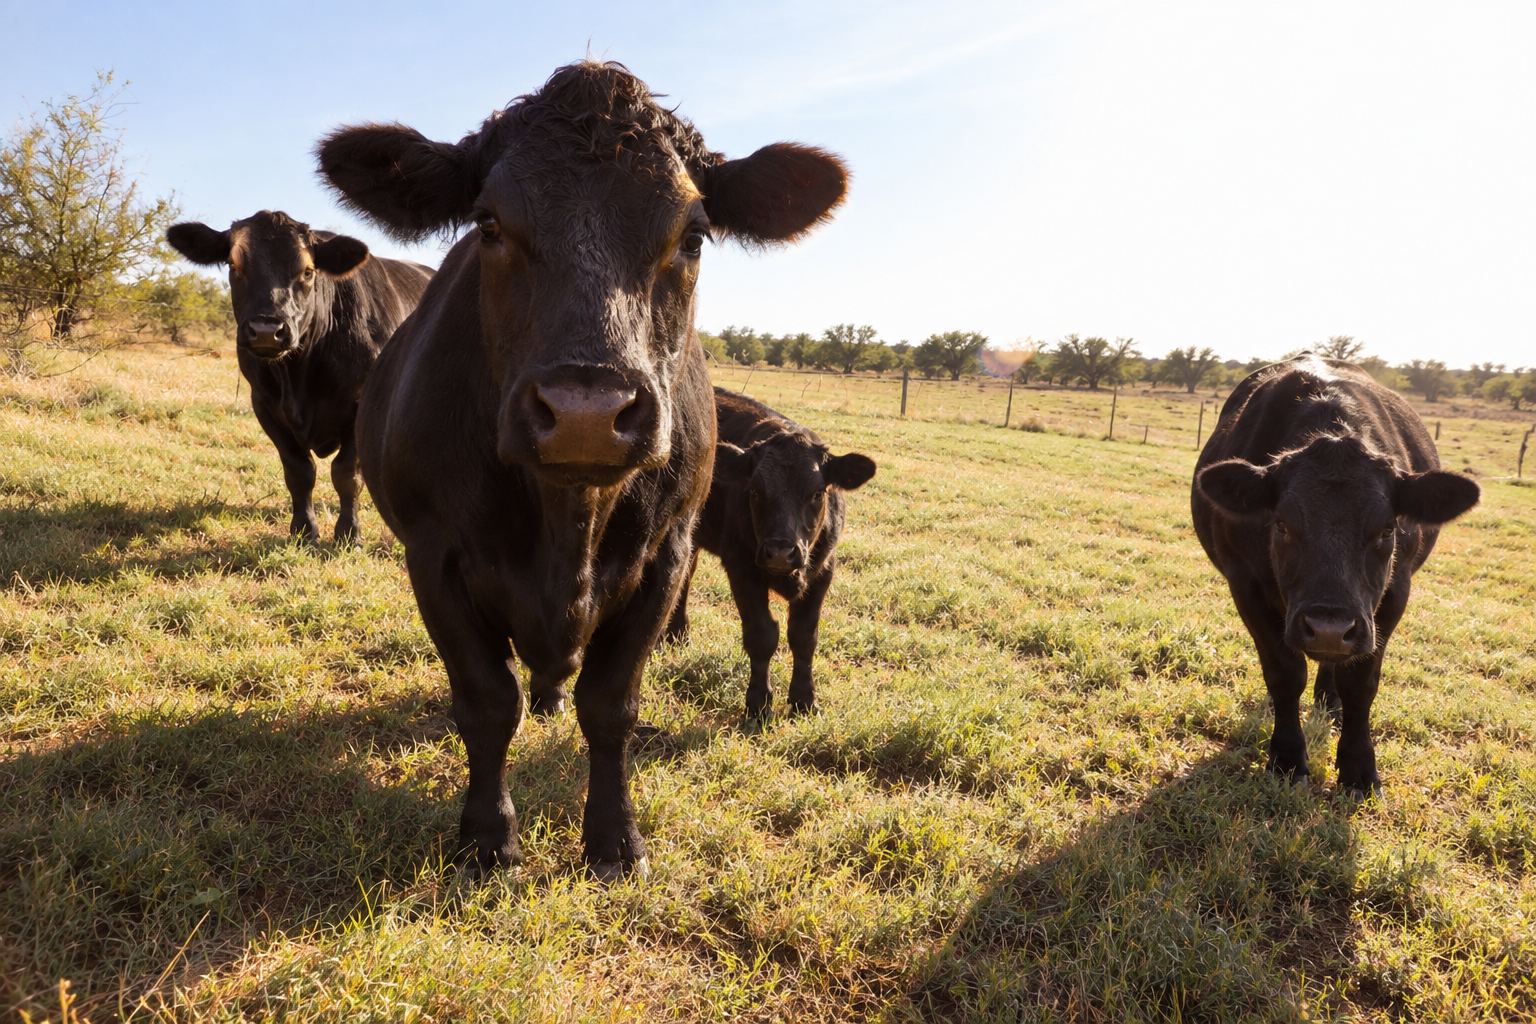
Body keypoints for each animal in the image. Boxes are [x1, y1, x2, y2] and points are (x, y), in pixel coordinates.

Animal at [165, 211, 432, 543]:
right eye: (233, 265)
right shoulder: (264, 405)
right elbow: (299, 471)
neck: (301, 375)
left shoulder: (362, 406)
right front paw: (304, 528)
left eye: (307, 271)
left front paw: (349, 532)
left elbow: (346, 473)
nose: (266, 330)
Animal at [314, 62, 849, 878]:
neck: (569, 522)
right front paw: (488, 836)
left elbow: (611, 705)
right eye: (489, 223)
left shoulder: (666, 556)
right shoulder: (433, 557)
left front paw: (615, 840)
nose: (587, 412)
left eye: (694, 235)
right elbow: (486, 702)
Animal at [665, 388, 875, 724]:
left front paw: (805, 699)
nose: (780, 552)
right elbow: (761, 634)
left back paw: (677, 634)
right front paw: (758, 704)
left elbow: (804, 636)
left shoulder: (824, 569)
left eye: (817, 493)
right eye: (754, 491)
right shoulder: (741, 567)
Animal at [1192, 355, 1480, 795]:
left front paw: (1359, 769)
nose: (1329, 629)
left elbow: (1360, 682)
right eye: (1282, 525)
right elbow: (1284, 673)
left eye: (1387, 529)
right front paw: (1287, 759)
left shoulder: (1393, 595)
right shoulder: (1245, 585)